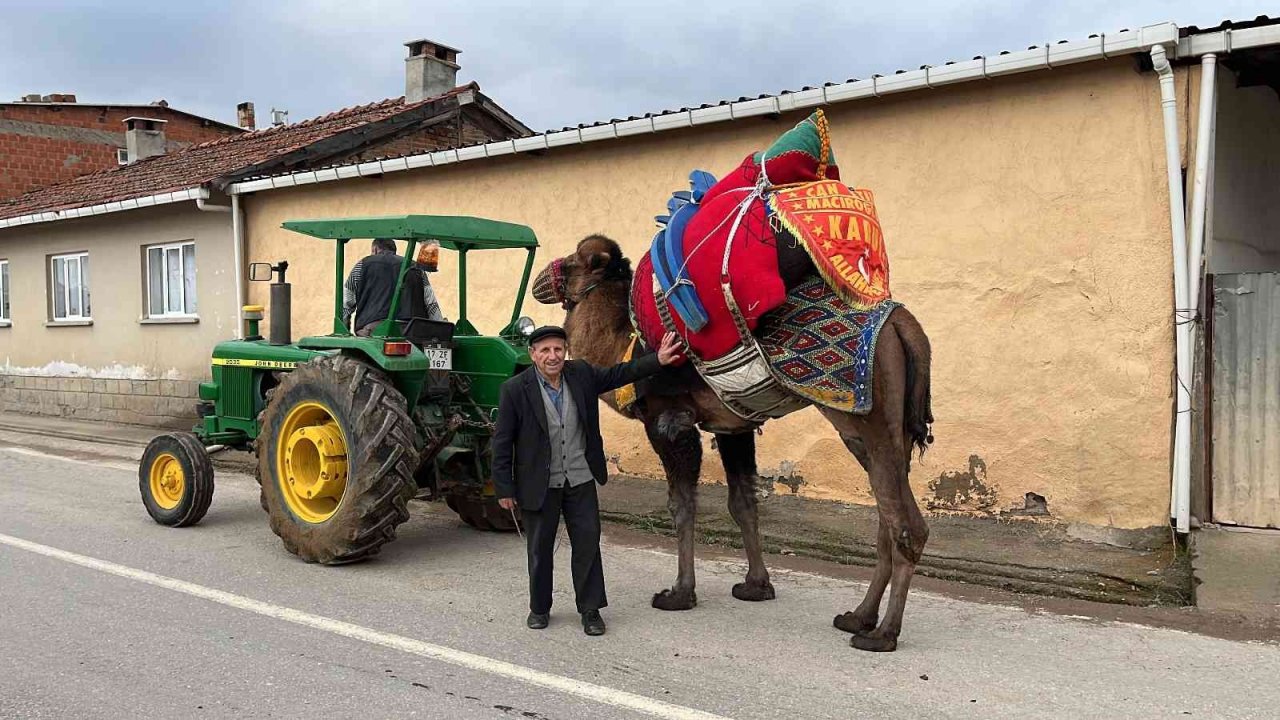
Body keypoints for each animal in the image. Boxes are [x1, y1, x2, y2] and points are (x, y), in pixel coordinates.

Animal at [527, 110, 931, 650]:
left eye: (572, 262)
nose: (539, 280)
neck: (623, 340)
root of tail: (904, 324)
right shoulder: (733, 423)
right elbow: (743, 503)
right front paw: (756, 586)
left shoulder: (668, 419)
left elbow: (682, 506)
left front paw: (679, 593)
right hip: (882, 426)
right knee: (889, 517)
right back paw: (857, 617)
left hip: (868, 412)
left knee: (904, 523)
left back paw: (882, 633)